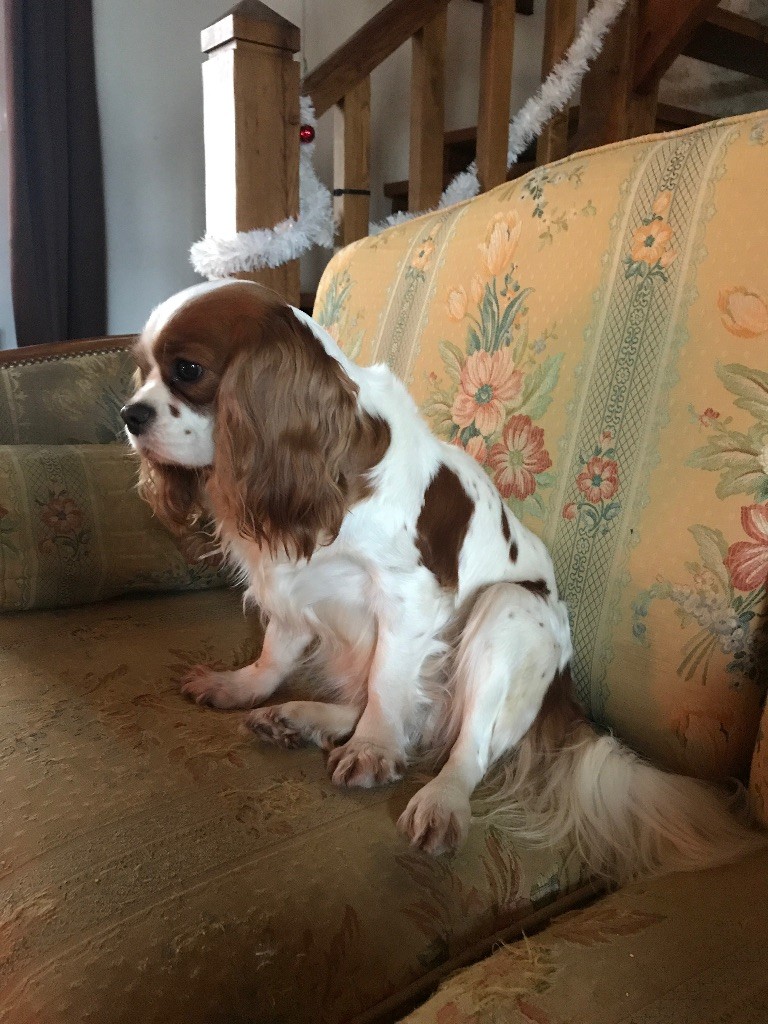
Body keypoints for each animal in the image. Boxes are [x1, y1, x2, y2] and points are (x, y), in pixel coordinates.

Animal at [122, 278, 764, 879]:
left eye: (187, 370)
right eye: (142, 371)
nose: (129, 414)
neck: (324, 458)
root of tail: (566, 696)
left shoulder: (408, 598)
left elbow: (387, 685)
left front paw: (372, 751)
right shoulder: (291, 582)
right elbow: (277, 651)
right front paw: (244, 686)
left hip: (509, 610)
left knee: (465, 747)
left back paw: (439, 799)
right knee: (417, 722)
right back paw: (301, 718)